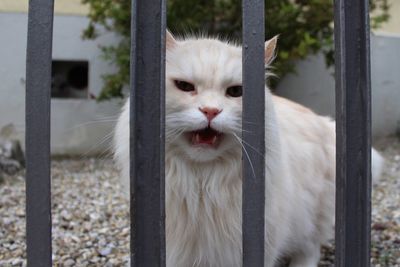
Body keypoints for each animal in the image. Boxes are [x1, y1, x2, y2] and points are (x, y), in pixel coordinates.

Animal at [113, 31, 384, 267]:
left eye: (235, 92)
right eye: (185, 86)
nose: (210, 111)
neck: (202, 186)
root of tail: (325, 123)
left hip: (310, 216)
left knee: (310, 249)